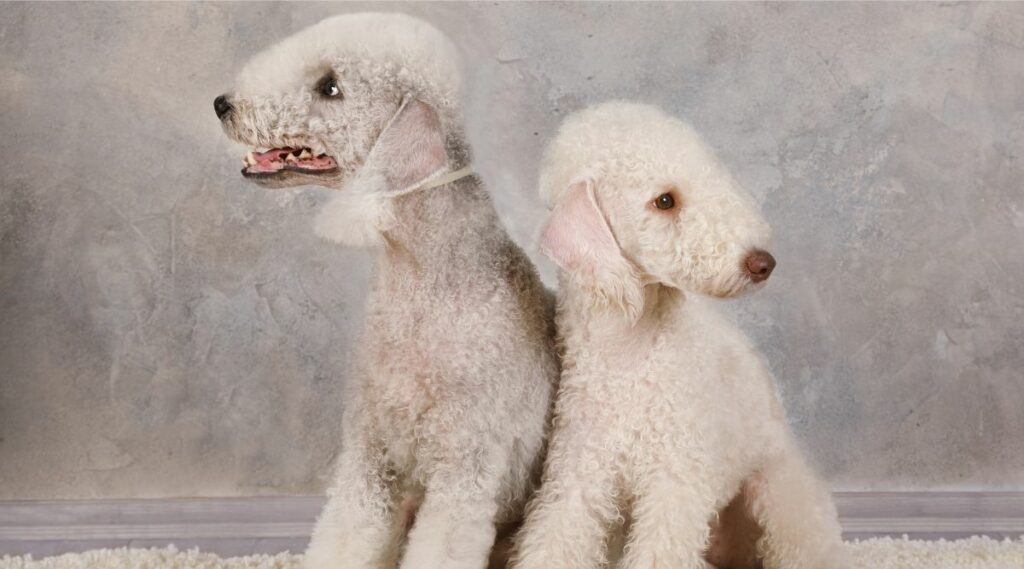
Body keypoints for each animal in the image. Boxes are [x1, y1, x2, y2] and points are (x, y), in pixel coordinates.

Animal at [210, 12, 557, 569]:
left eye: (330, 87)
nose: (223, 104)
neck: (423, 288)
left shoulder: (463, 471)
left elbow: (442, 545)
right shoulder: (370, 458)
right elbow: (345, 533)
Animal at [512, 103, 847, 569]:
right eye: (665, 201)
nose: (762, 262)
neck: (632, 349)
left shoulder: (674, 481)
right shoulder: (581, 472)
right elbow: (556, 536)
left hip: (780, 492)